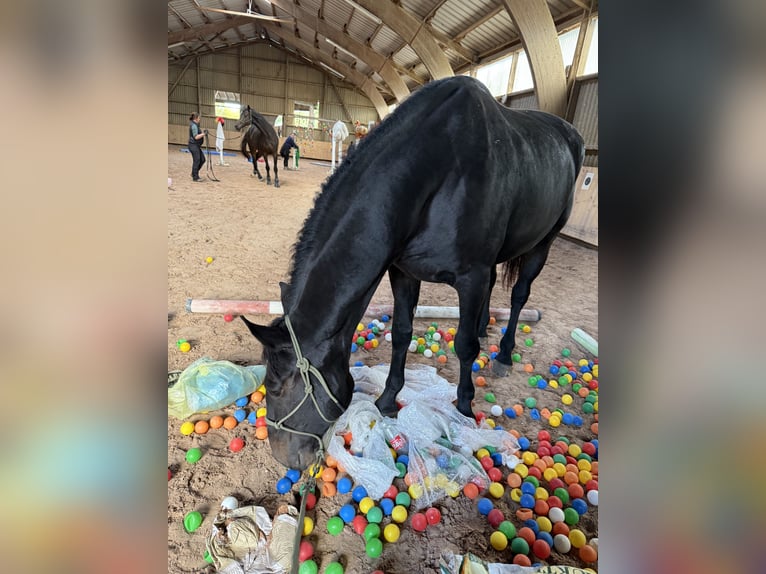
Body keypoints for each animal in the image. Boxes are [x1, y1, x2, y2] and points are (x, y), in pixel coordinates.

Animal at [243, 75, 584, 472]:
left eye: (276, 387)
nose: (285, 457)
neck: (438, 170)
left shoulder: (470, 277)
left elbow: (464, 345)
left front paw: (464, 407)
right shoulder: (403, 272)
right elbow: (402, 334)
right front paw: (388, 400)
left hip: (543, 243)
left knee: (518, 297)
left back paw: (502, 354)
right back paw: (485, 327)